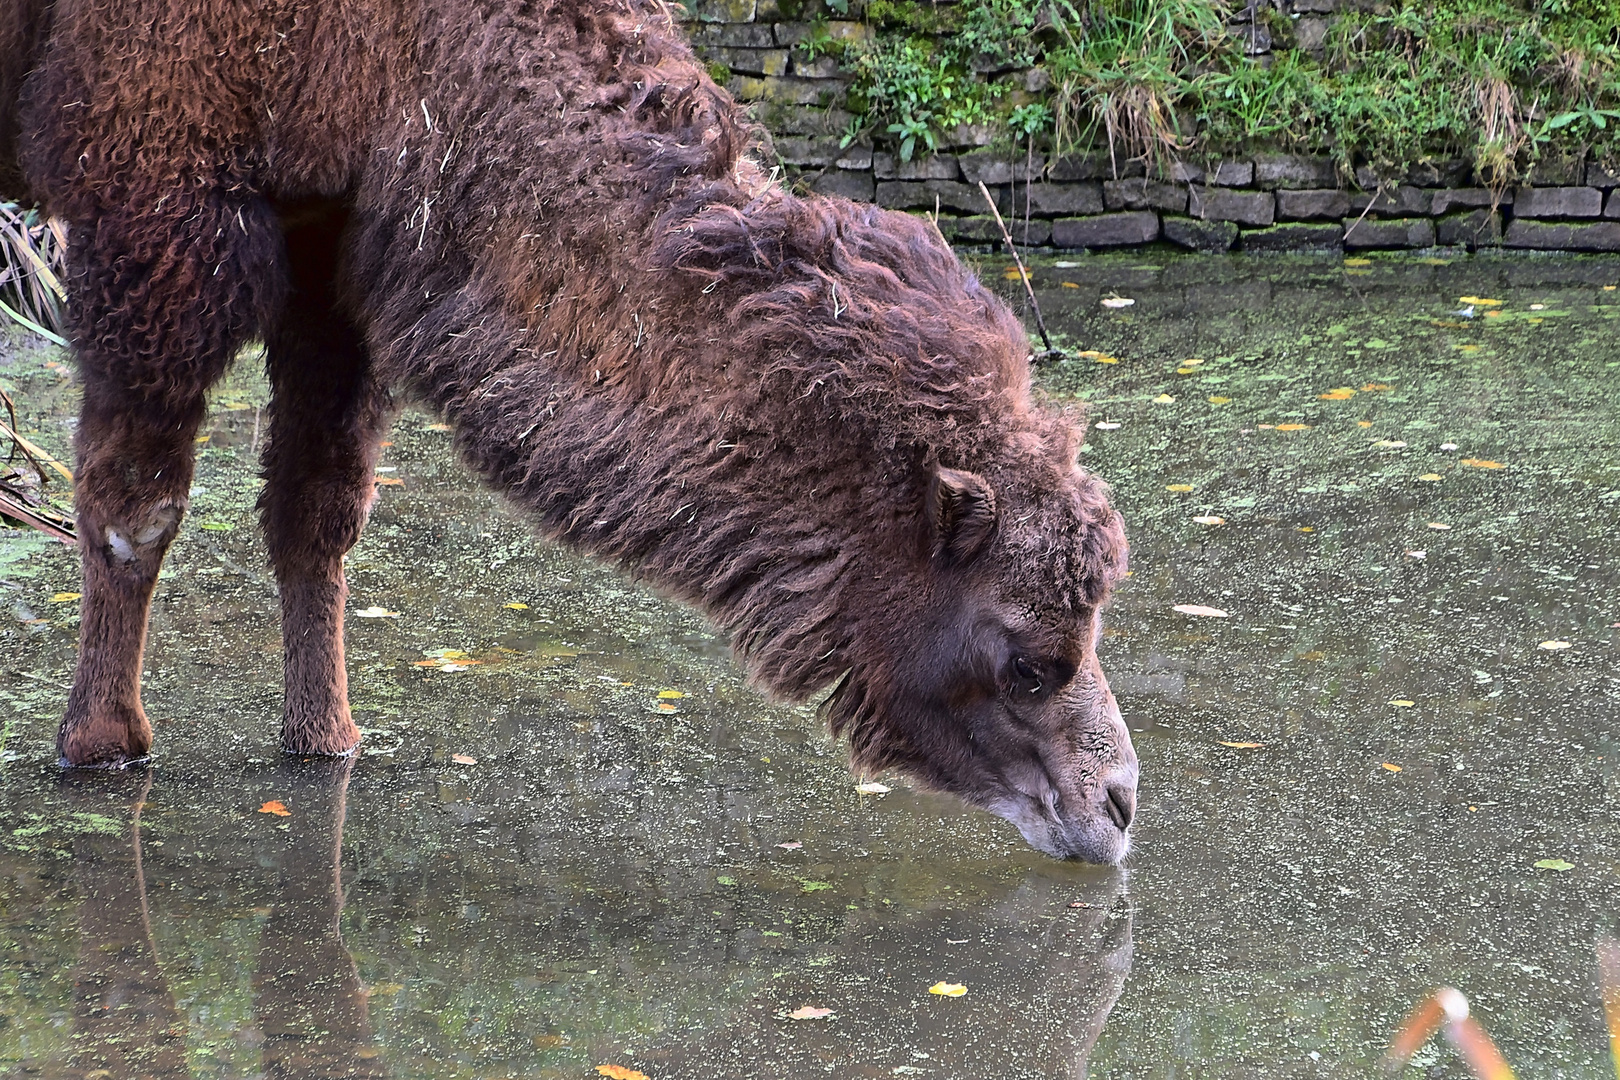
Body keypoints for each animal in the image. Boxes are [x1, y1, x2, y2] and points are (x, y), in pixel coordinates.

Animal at [3, 0, 1140, 861]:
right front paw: (101, 744)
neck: (417, 53)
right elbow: (136, 504)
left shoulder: (337, 242)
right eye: (1029, 658)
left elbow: (315, 513)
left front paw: (327, 742)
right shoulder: (154, 192)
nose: (1120, 803)